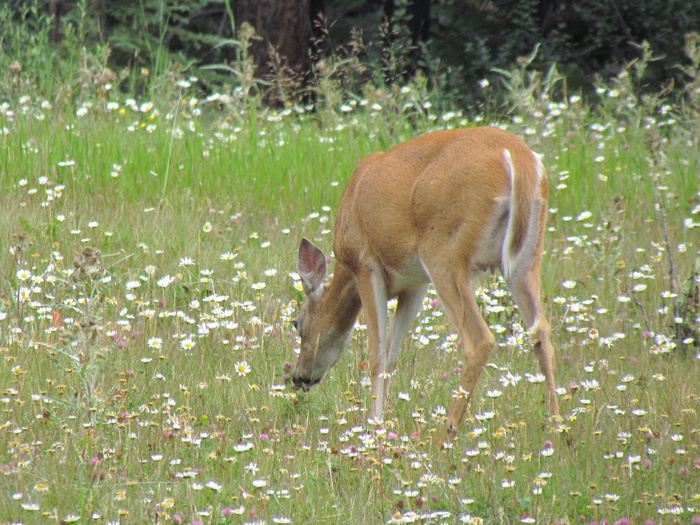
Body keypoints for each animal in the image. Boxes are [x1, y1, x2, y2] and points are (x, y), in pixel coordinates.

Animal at [290, 128, 556, 442]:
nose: (299, 377)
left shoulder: (366, 264)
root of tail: (519, 157)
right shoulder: (415, 283)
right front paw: (382, 422)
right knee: (541, 332)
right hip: (526, 256)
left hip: (443, 249)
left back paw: (445, 436)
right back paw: (557, 426)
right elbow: (393, 355)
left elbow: (377, 353)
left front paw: (374, 426)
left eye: (296, 323)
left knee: (479, 339)